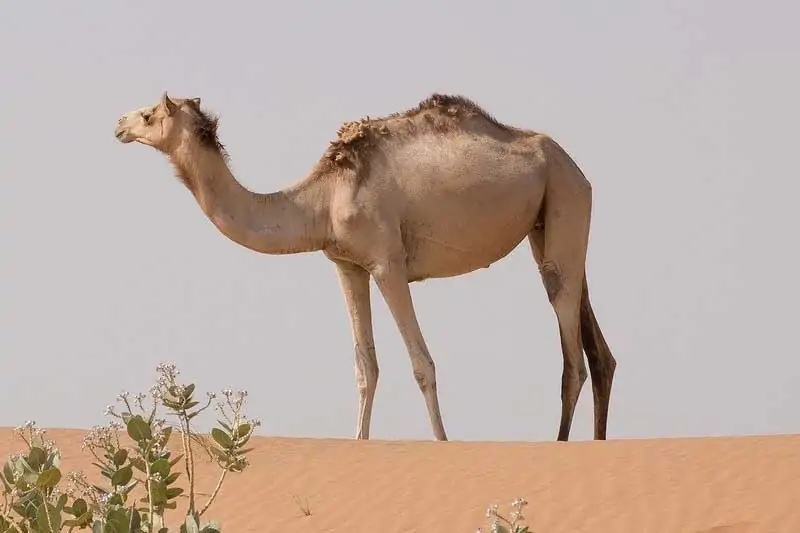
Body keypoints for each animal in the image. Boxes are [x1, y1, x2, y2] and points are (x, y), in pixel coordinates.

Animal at [114, 91, 617, 442]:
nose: (118, 123)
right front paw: (360, 441)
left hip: (564, 196)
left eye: (150, 114)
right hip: (548, 221)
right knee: (596, 347)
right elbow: (365, 366)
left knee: (571, 350)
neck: (322, 199)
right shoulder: (347, 265)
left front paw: (442, 443)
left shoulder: (386, 262)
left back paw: (560, 445)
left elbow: (421, 363)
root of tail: (575, 166)